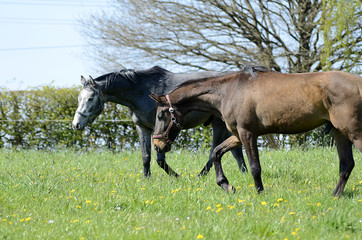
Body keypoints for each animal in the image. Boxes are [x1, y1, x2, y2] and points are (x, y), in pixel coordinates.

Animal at [72, 65, 247, 178]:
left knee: (214, 152)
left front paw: (177, 177)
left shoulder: (160, 130)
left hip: (218, 125)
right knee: (235, 151)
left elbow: (160, 159)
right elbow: (146, 156)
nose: (76, 124)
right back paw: (244, 173)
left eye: (90, 98)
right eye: (79, 98)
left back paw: (200, 176)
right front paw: (146, 179)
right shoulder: (142, 128)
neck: (142, 91)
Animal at [151, 67, 360, 197]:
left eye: (161, 115)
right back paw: (334, 196)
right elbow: (216, 153)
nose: (157, 145)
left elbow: (254, 167)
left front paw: (260, 193)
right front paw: (226, 185)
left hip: (354, 133)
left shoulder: (247, 133)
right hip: (340, 133)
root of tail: (359, 84)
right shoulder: (237, 135)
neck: (228, 92)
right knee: (346, 165)